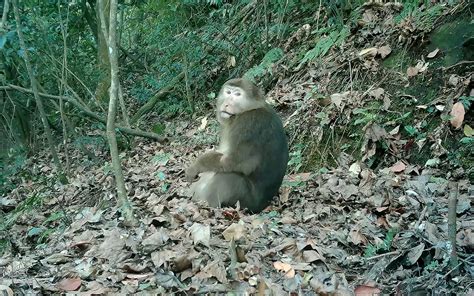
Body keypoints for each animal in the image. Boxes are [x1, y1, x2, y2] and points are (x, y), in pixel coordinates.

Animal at [185, 78, 288, 213]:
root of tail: (265, 204)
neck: (249, 109)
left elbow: (230, 162)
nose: (226, 104)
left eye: (237, 94)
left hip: (247, 202)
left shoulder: (247, 125)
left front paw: (195, 166)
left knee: (229, 177)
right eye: (228, 92)